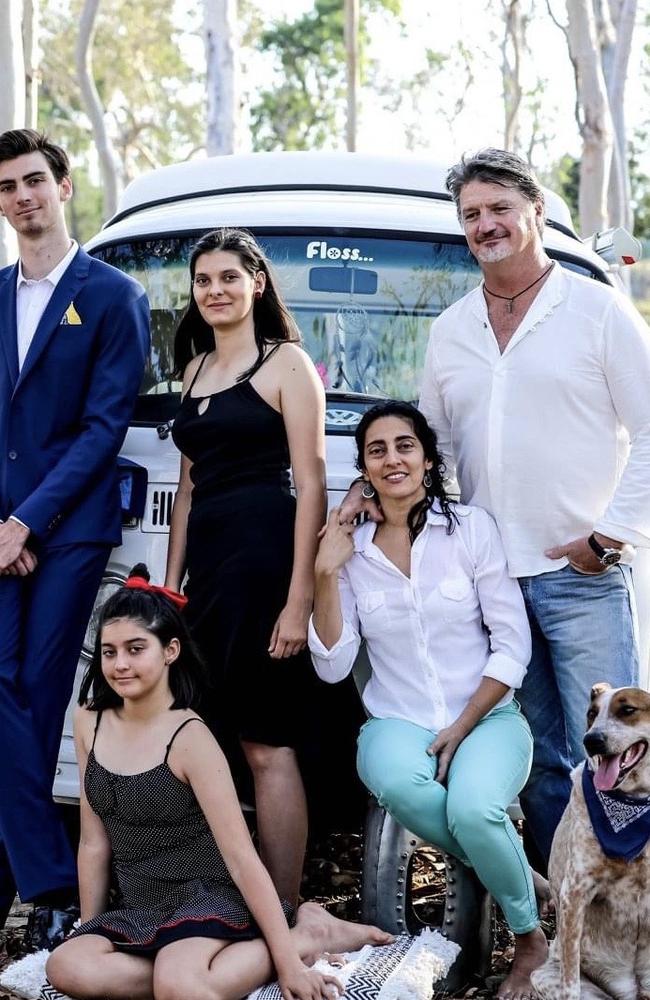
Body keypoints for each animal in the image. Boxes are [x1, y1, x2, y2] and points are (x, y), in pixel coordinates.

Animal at [532, 684, 648, 1000]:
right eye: (592, 714)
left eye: (628, 710)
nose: (591, 740)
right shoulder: (575, 893)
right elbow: (570, 979)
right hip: (544, 976)